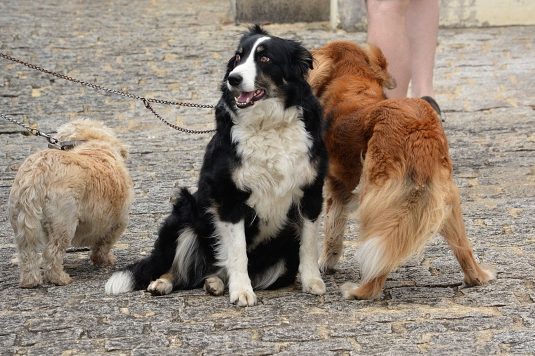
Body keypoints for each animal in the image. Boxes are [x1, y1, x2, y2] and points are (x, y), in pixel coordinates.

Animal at [8, 120, 134, 290]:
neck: (93, 143)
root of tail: (38, 171)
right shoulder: (118, 222)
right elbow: (104, 244)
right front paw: (104, 260)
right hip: (64, 224)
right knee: (52, 253)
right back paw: (59, 278)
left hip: (22, 223)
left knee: (28, 253)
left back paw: (30, 281)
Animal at [104, 25, 326, 306]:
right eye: (238, 57)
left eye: (265, 58)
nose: (233, 79)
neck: (268, 124)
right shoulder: (228, 196)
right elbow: (238, 252)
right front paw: (242, 292)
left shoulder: (311, 192)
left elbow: (309, 243)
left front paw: (312, 281)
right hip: (186, 212)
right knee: (182, 270)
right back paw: (164, 283)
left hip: (281, 259)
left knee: (214, 272)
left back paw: (214, 282)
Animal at [308, 40, 496, 298]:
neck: (352, 80)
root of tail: (420, 129)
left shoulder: (336, 187)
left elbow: (332, 228)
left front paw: (325, 263)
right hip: (444, 198)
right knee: (463, 248)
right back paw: (476, 277)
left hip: (377, 195)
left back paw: (361, 290)